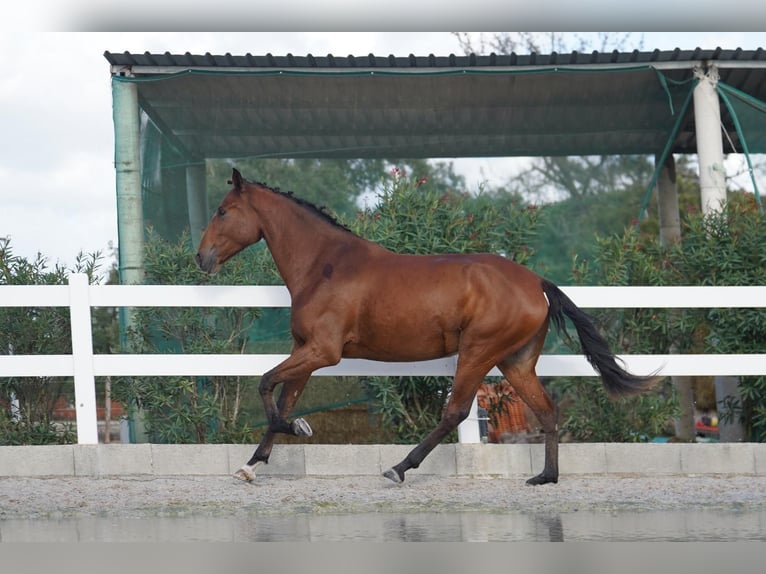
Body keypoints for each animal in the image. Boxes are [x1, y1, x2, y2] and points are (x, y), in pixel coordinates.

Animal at [195, 170, 656, 486]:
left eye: (222, 211)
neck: (325, 264)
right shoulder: (306, 351)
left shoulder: (323, 352)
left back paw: (400, 468)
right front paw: (252, 465)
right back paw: (545, 477)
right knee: (546, 410)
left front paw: (293, 432)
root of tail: (536, 282)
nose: (201, 257)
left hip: (478, 352)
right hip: (515, 362)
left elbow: (264, 384)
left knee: (456, 412)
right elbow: (283, 399)